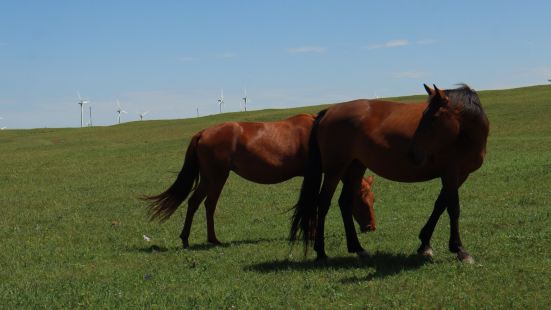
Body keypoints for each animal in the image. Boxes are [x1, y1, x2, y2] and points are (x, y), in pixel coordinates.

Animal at [142, 112, 378, 248]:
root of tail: (202, 133)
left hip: (209, 178)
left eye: (373, 199)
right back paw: (213, 239)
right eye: (362, 200)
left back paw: (186, 238)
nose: (372, 227)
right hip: (217, 177)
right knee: (209, 204)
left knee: (194, 202)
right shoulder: (315, 174)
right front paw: (311, 234)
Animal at [292, 83, 490, 262]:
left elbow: (440, 205)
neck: (462, 136)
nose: (413, 153)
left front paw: (425, 244)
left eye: (433, 118)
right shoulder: (451, 173)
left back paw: (358, 248)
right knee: (323, 203)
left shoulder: (460, 175)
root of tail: (329, 111)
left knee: (345, 203)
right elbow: (453, 208)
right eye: (424, 116)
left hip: (355, 166)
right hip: (335, 169)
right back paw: (321, 252)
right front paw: (460, 249)